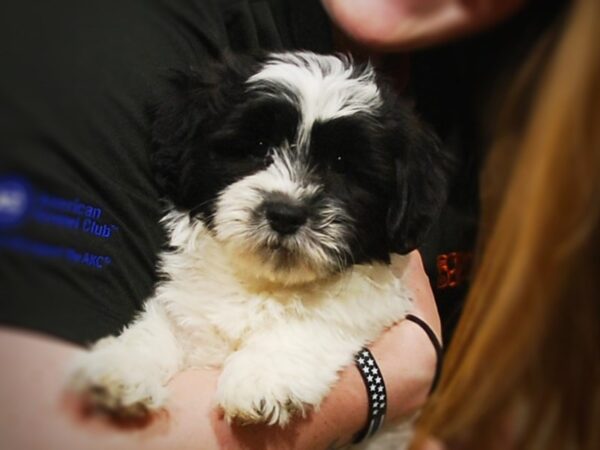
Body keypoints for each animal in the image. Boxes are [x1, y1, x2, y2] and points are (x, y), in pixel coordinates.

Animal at [68, 51, 448, 434]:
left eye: (341, 165)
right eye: (258, 147)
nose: (285, 214)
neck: (264, 284)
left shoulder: (368, 302)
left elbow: (316, 319)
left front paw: (261, 378)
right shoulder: (188, 307)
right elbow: (162, 328)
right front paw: (122, 366)